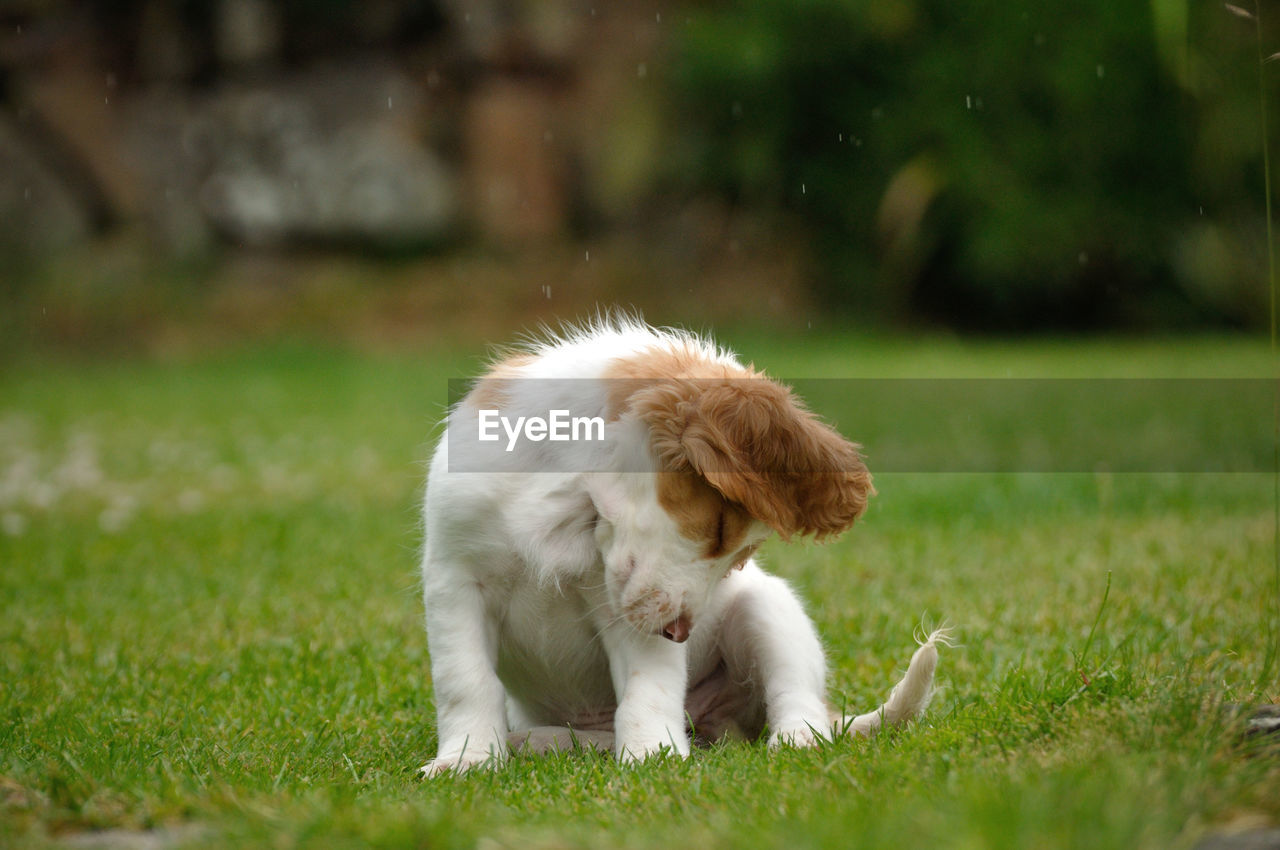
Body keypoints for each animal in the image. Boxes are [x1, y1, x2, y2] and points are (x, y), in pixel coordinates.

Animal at [417, 314, 942, 773]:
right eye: (720, 529)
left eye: (740, 557)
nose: (680, 634)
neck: (567, 499)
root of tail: (713, 729)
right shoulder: (456, 579)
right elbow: (465, 681)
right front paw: (467, 759)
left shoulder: (627, 604)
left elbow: (647, 688)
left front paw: (653, 758)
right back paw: (537, 741)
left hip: (768, 610)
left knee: (798, 699)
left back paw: (796, 740)